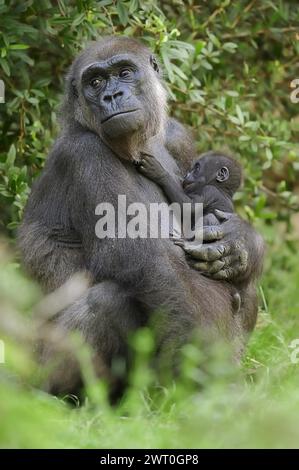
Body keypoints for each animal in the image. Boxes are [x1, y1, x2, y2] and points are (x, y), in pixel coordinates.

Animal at [138, 149, 244, 314]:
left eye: (197, 168)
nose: (187, 174)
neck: (223, 189)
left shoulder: (208, 191)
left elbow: (189, 207)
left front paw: (160, 173)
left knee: (209, 218)